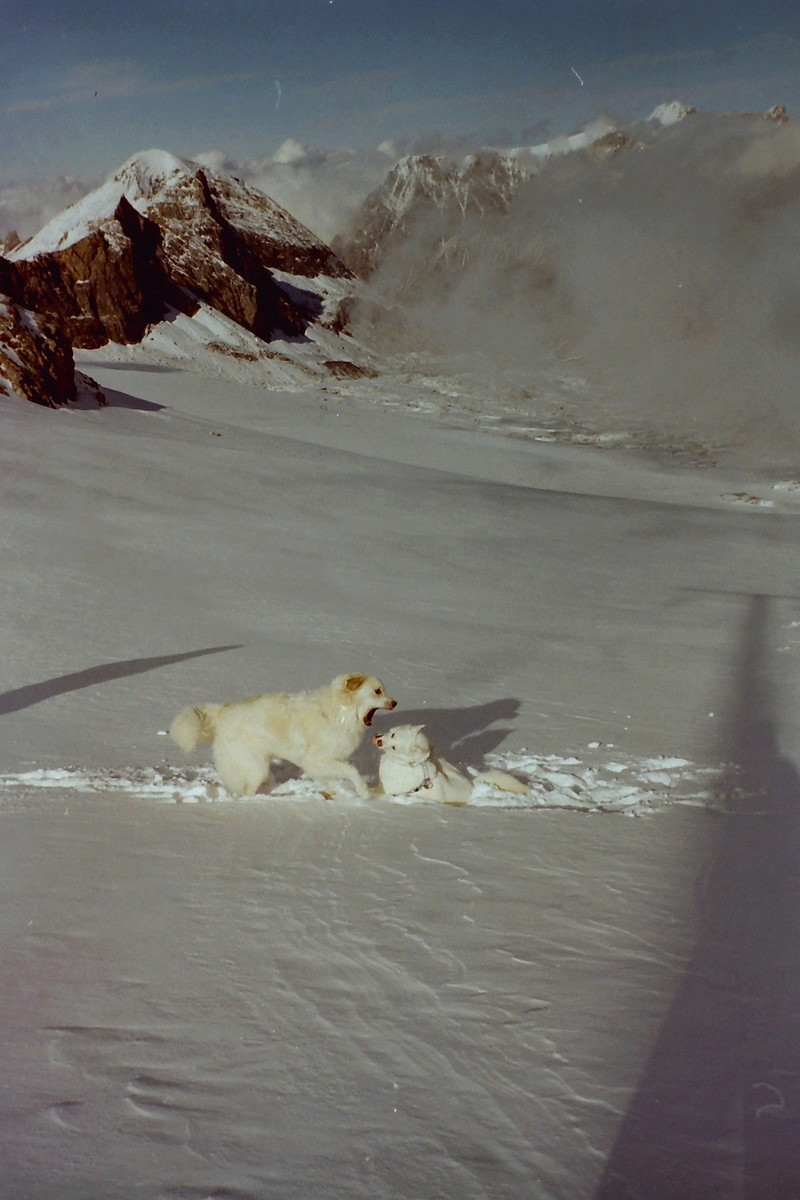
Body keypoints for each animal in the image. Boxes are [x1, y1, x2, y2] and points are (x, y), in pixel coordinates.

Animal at [170, 676, 398, 796]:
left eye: (383, 690)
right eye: (377, 691)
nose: (395, 702)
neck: (340, 711)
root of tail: (223, 713)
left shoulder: (328, 762)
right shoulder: (315, 761)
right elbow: (351, 770)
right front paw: (364, 792)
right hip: (255, 766)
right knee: (247, 790)